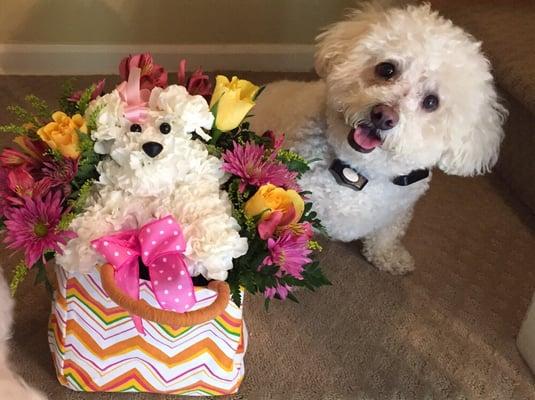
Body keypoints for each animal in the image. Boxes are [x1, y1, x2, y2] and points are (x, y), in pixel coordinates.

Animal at [251, 3, 506, 274]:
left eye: (431, 102)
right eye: (387, 69)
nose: (384, 116)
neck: (357, 172)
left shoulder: (397, 212)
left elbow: (387, 234)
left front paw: (389, 256)